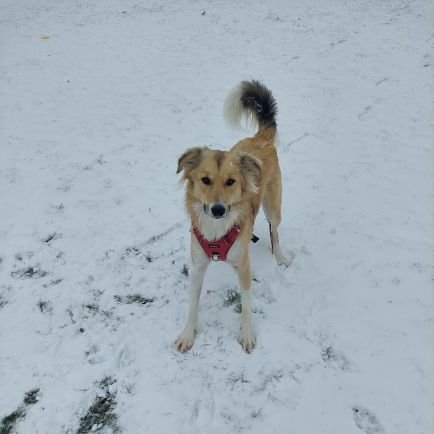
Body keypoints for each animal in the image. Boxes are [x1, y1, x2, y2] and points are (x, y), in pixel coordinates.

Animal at [173, 81, 288, 352]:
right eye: (205, 180)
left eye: (231, 181)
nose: (218, 209)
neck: (216, 231)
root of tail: (259, 138)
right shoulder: (197, 266)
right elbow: (192, 305)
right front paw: (188, 334)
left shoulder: (244, 266)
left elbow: (246, 307)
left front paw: (246, 334)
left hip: (273, 206)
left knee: (274, 230)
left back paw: (278, 254)